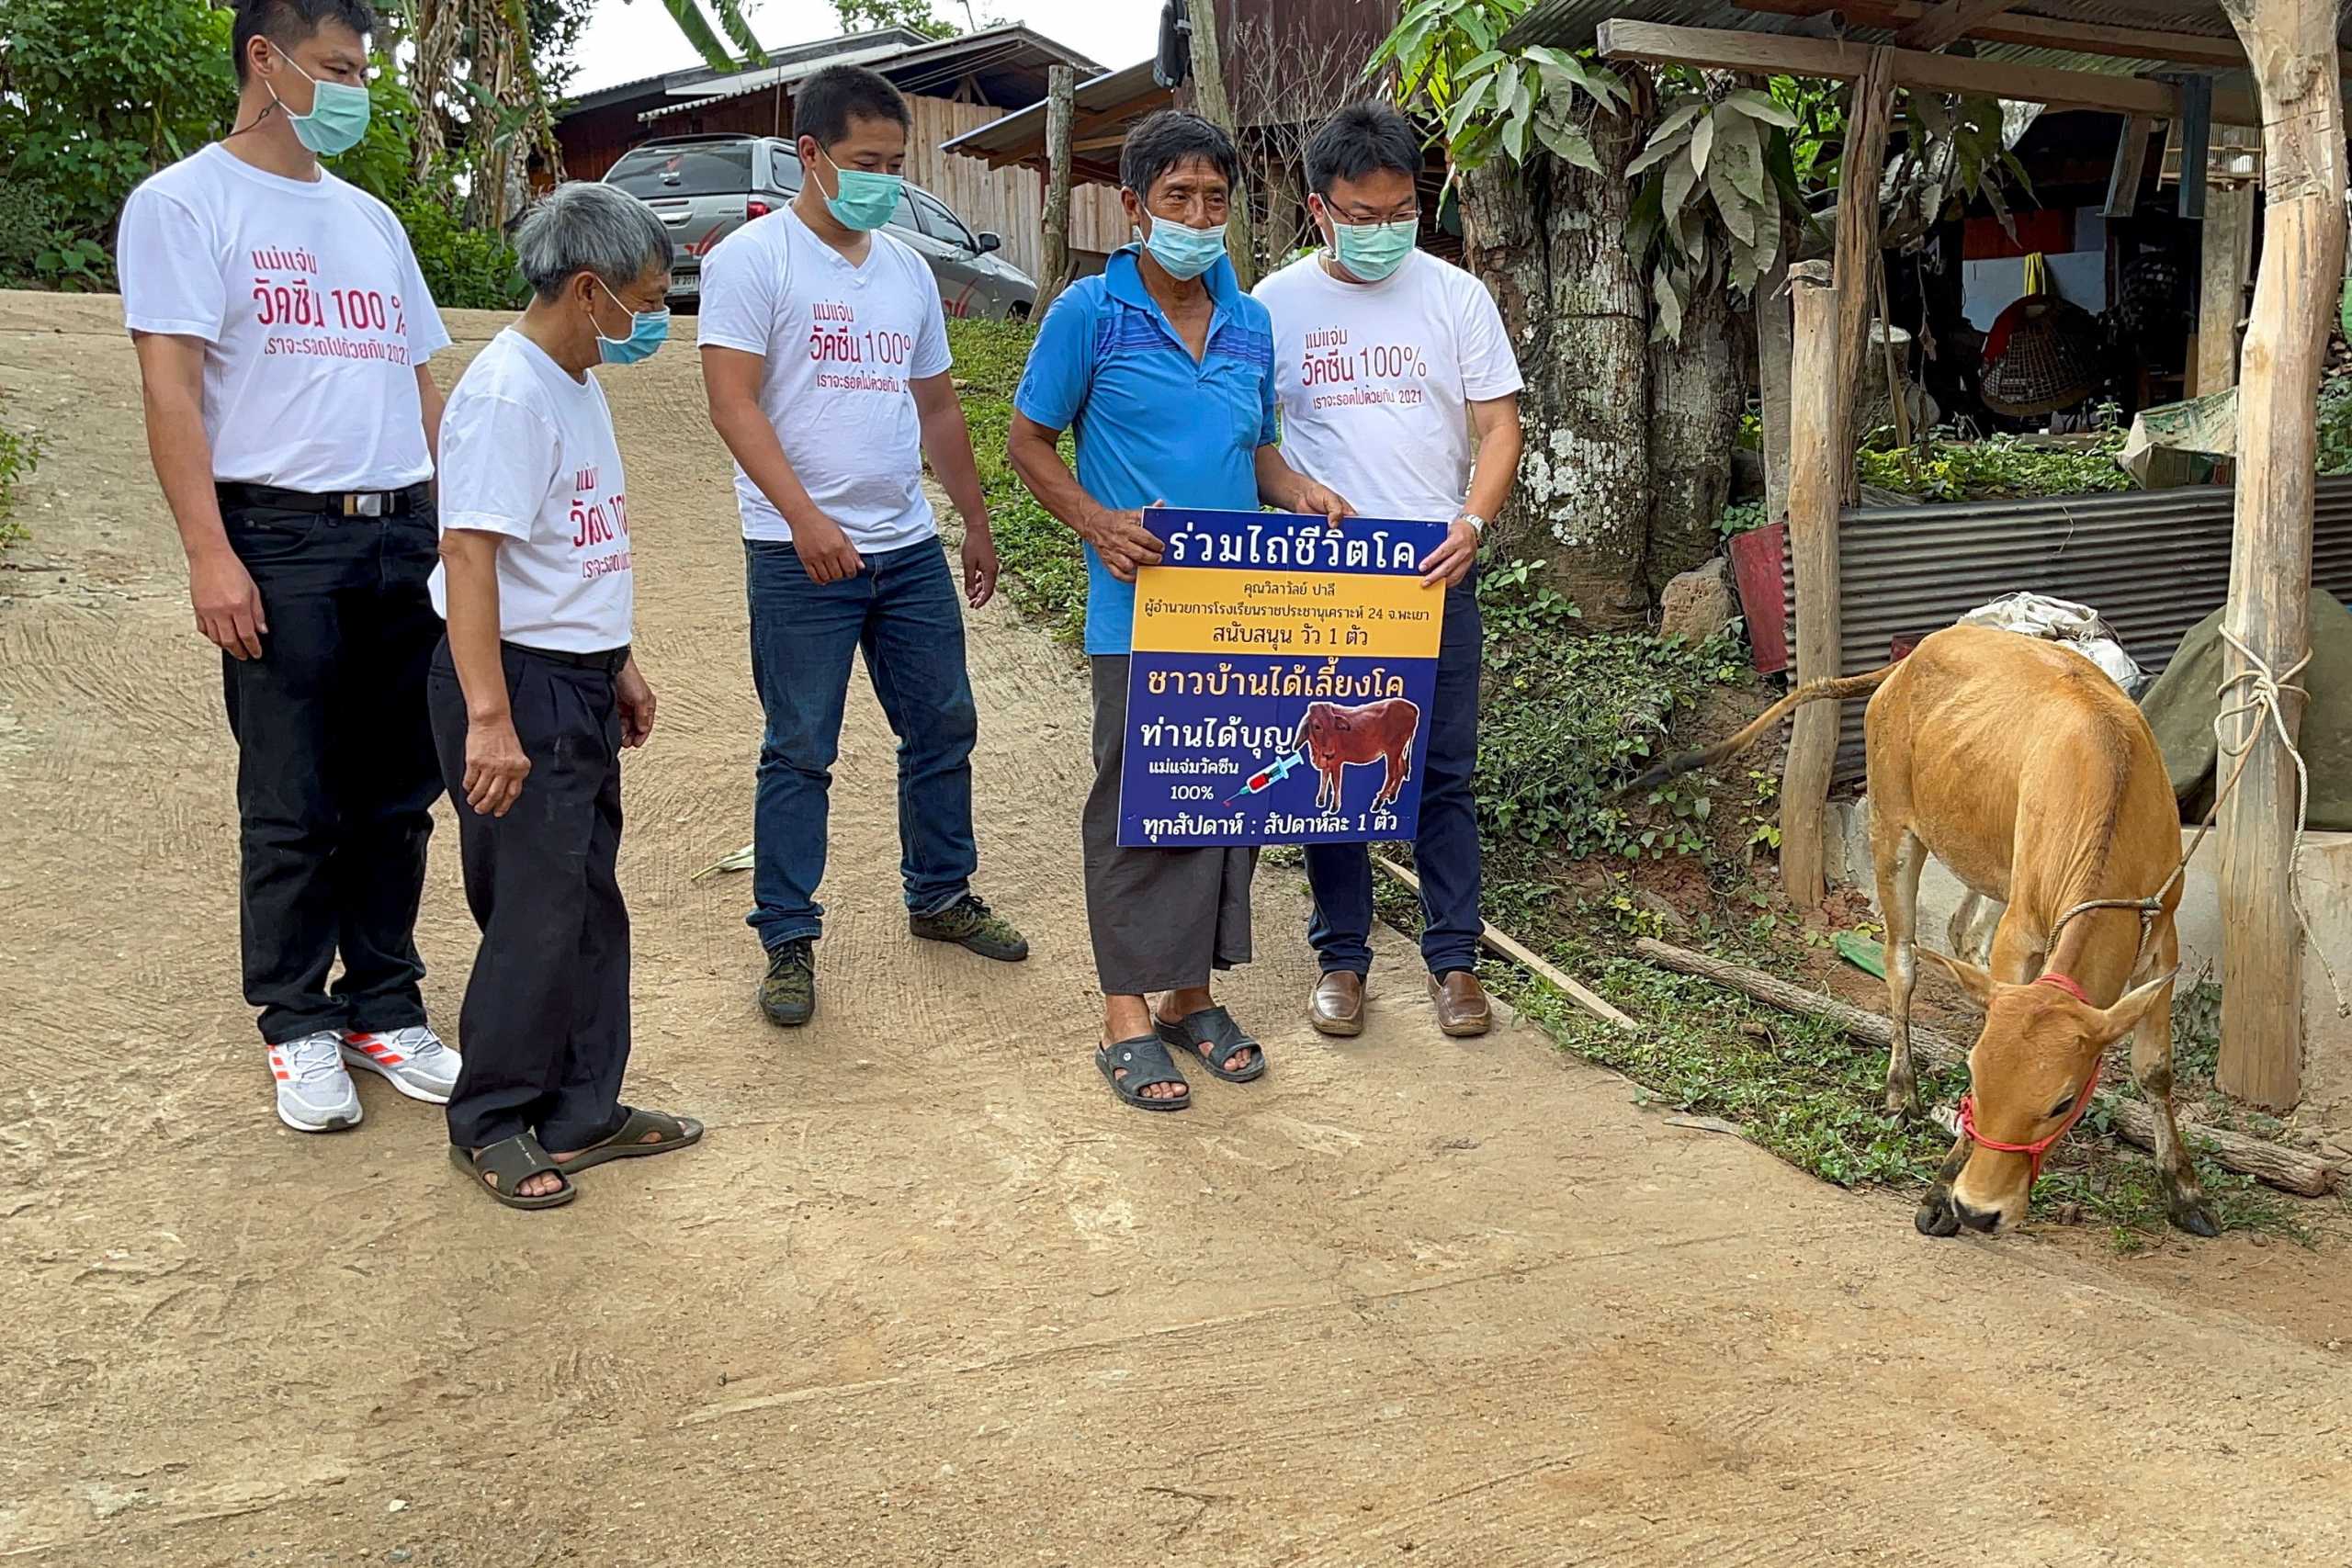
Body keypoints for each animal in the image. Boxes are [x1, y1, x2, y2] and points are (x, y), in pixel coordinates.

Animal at [1288, 700, 1411, 818]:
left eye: (1334, 725)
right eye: (1317, 726)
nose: (1330, 753)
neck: (1317, 751)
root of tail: (1410, 707)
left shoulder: (1336, 762)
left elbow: (1336, 784)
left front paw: (1334, 806)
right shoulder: (1327, 762)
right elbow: (1324, 779)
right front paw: (1321, 800)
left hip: (1393, 751)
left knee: (1392, 774)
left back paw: (1378, 802)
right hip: (1398, 751)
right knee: (1402, 769)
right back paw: (1392, 796)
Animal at [1627, 625, 2211, 1241]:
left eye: (2062, 1102)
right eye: (1975, 1080)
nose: (1978, 1210)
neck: (2113, 794)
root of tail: (1920, 651)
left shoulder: (2162, 939)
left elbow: (2155, 1069)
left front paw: (2185, 1190)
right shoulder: (2022, 930)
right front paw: (1939, 1193)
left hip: (1989, 860)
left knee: (1960, 932)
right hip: (1892, 827)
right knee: (1902, 960)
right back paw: (1901, 1092)